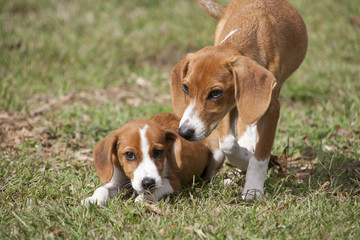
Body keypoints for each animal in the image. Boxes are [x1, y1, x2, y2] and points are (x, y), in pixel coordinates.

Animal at [82, 113, 224, 205]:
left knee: (210, 177)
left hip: (218, 151)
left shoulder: (173, 182)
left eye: (158, 152)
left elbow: (158, 188)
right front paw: (93, 200)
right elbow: (102, 189)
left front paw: (143, 198)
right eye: (129, 154)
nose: (148, 183)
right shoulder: (116, 182)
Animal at [170, 0, 308, 201]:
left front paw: (253, 189)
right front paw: (244, 158)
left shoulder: (270, 108)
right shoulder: (229, 106)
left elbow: (261, 155)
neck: (246, 34)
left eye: (216, 93)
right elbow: (228, 143)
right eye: (185, 88)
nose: (185, 132)